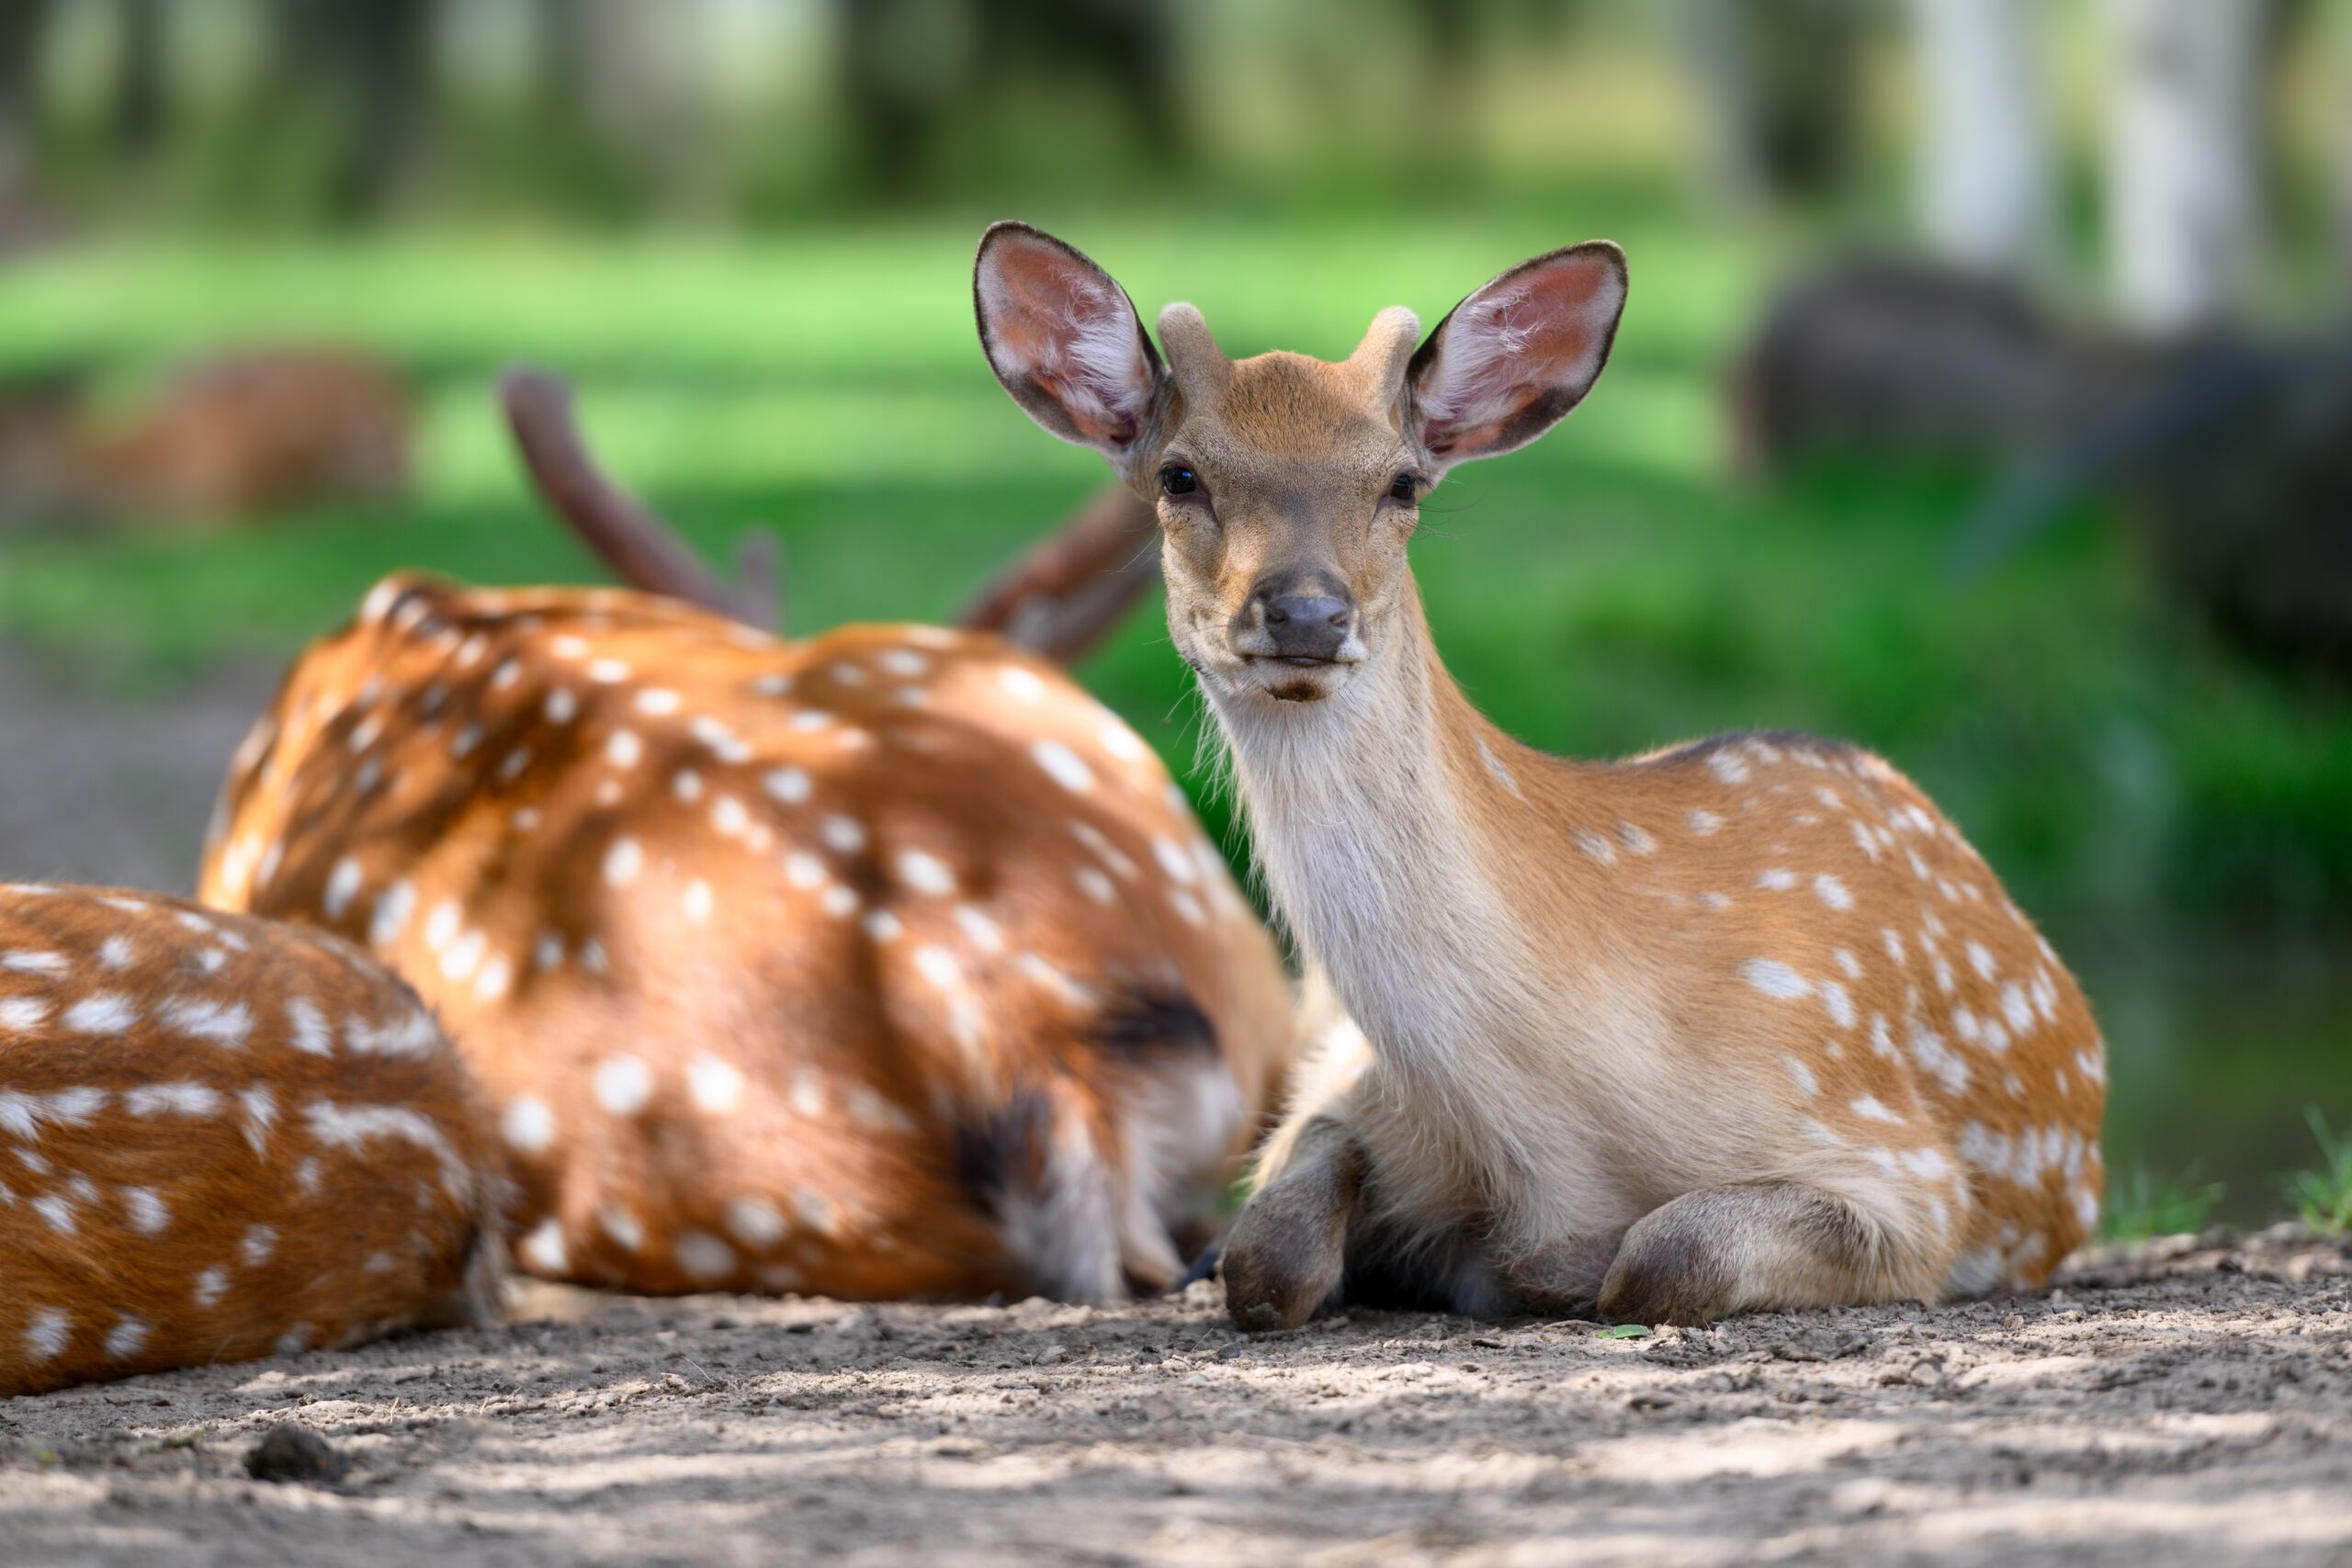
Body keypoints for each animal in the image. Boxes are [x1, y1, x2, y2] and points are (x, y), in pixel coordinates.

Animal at [973, 220, 2117, 1325]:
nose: (1304, 611)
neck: (1543, 1140)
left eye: (1401, 481)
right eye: (1180, 475)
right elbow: (1265, 1259)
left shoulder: (1902, 1169)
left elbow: (1662, 1260)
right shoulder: (1340, 1078)